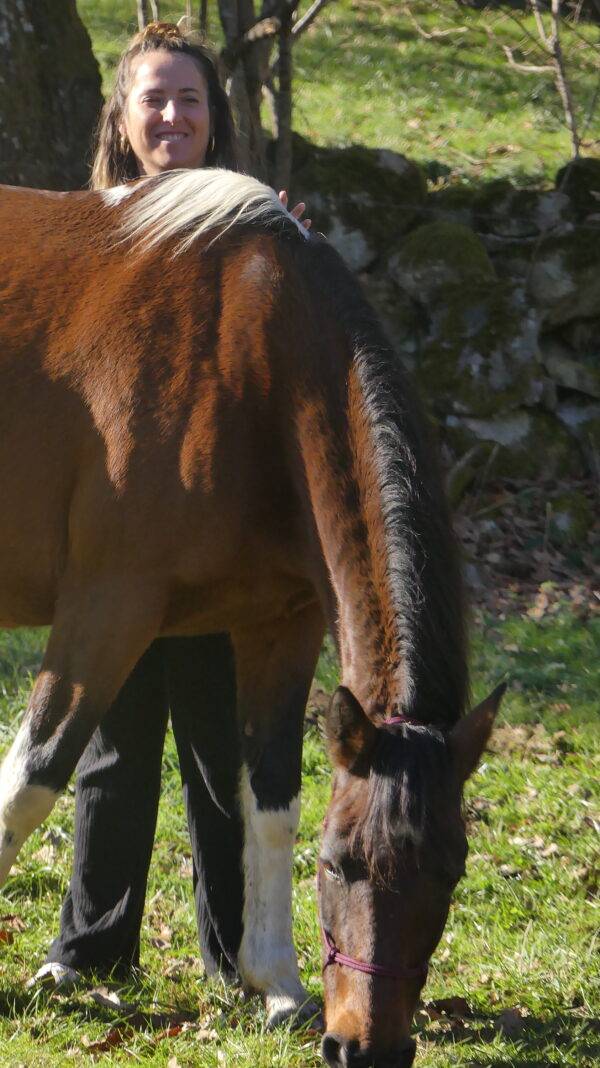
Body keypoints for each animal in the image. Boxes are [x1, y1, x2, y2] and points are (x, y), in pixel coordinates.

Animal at [0, 170, 499, 1063]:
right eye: (338, 864)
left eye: (452, 870)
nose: (364, 1047)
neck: (251, 359)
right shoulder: (106, 607)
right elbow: (33, 778)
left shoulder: (282, 626)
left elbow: (267, 798)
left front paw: (277, 985)